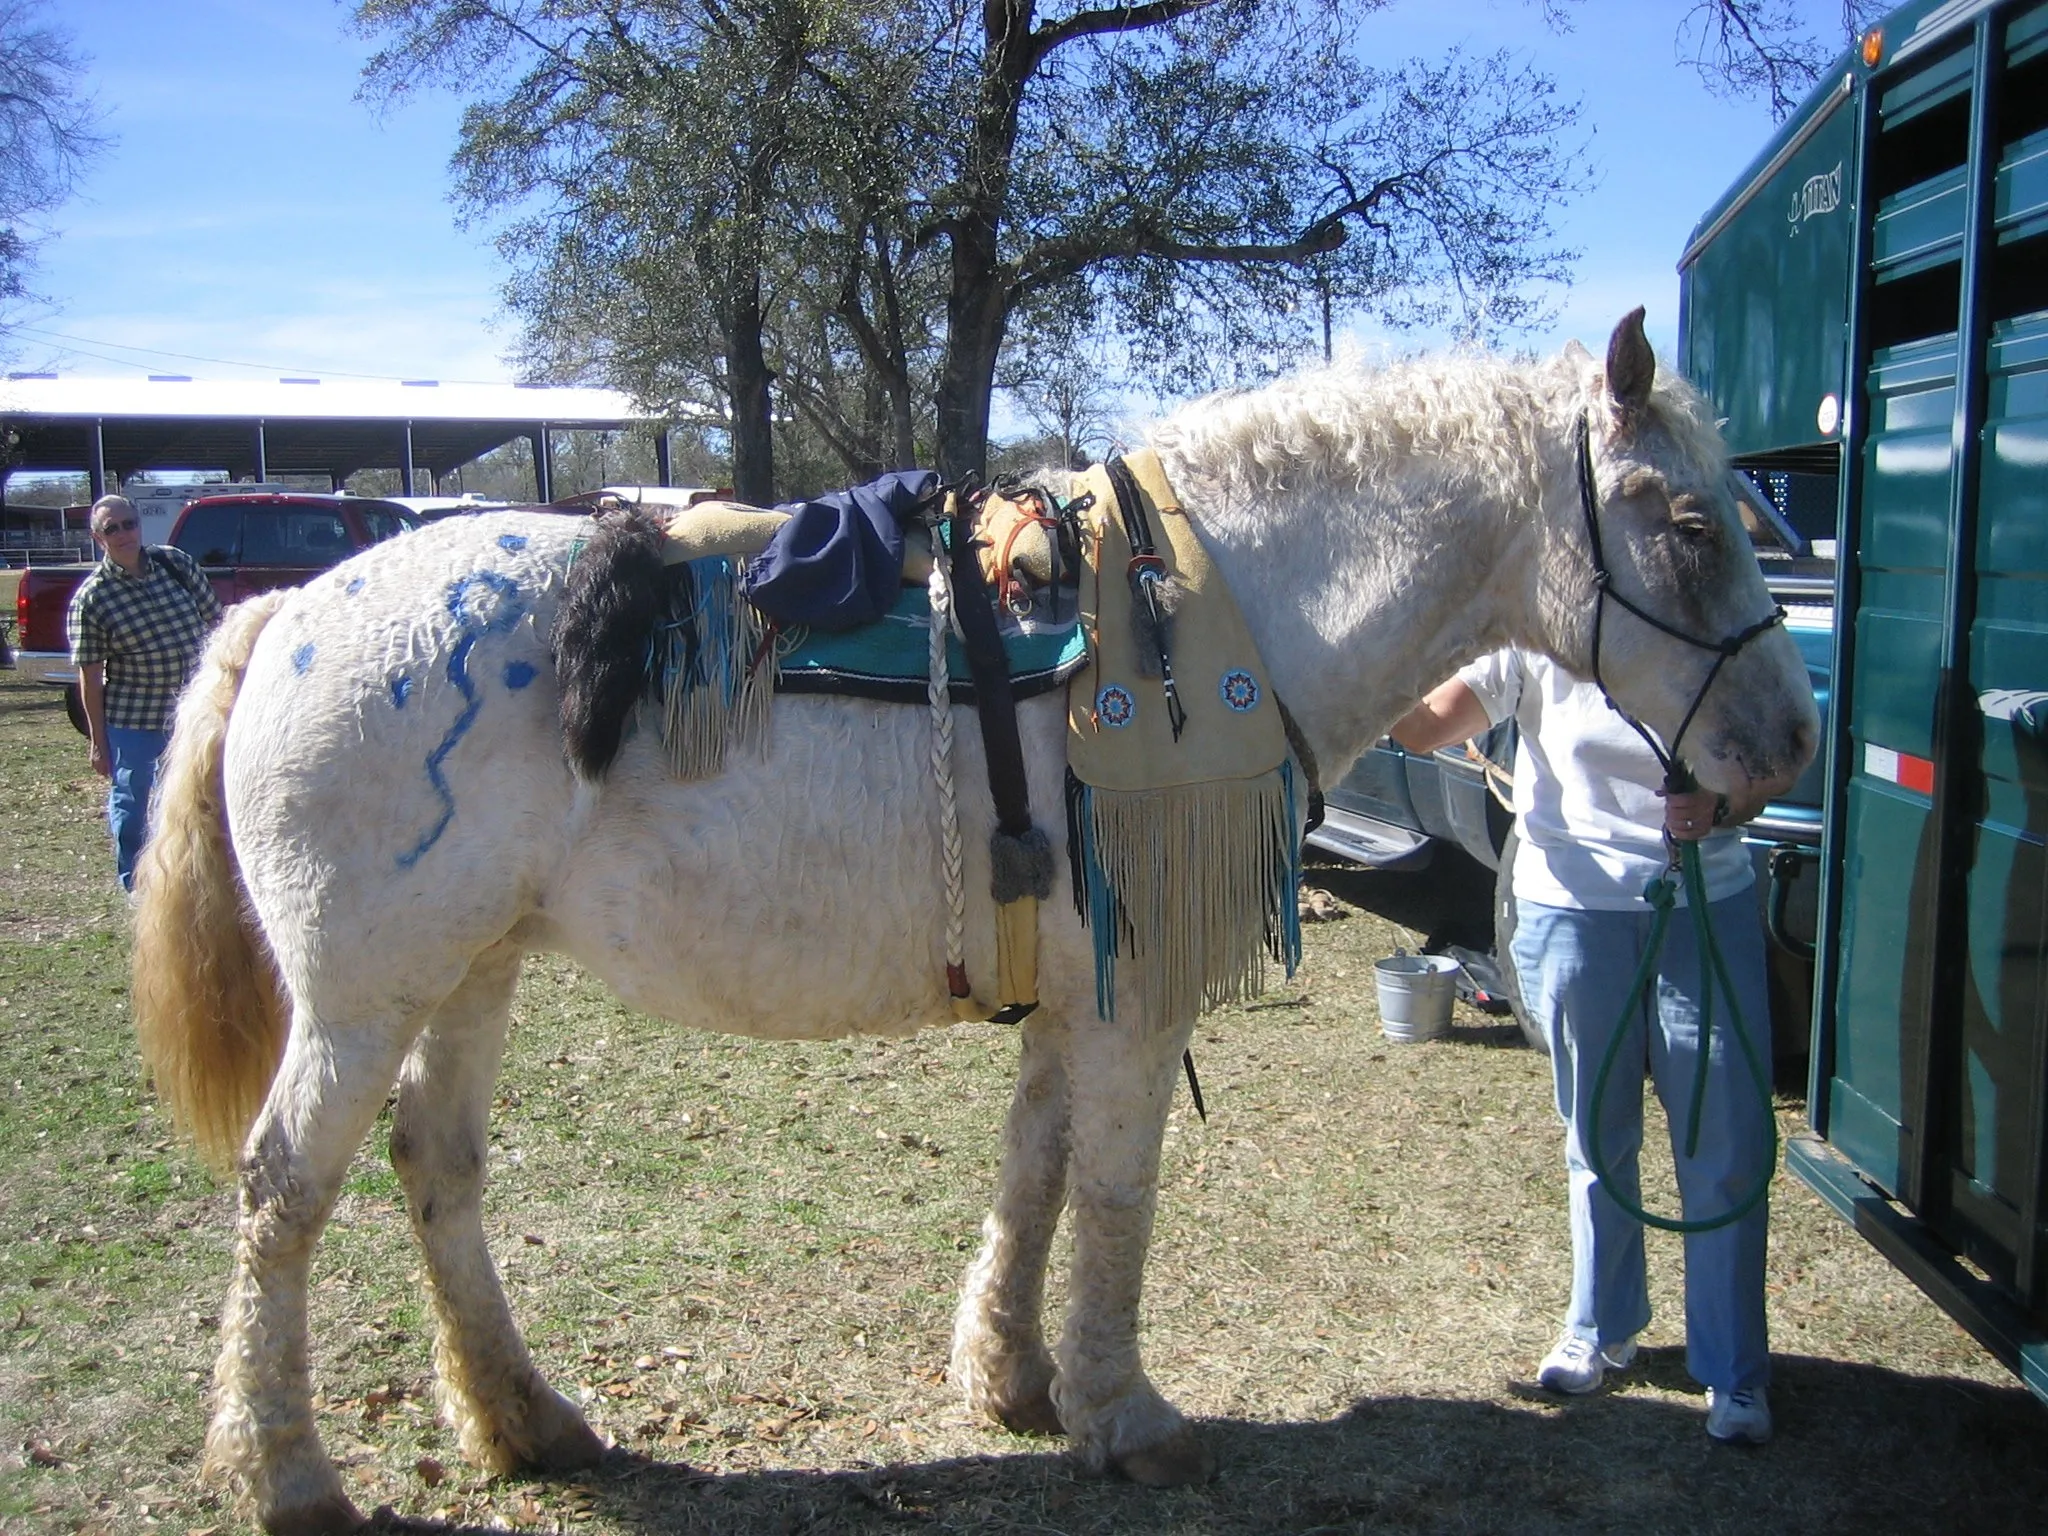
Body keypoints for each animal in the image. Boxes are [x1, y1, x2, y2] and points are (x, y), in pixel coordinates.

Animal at [136, 309, 1818, 1531]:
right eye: (1684, 521)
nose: (1789, 744)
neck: (1214, 611)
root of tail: (289, 610)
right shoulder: (1135, 1001)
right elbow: (1120, 1197)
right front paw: (1128, 1417)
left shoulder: (1075, 996)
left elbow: (1039, 1172)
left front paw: (1012, 1379)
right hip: (361, 1000)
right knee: (283, 1195)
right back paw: (288, 1474)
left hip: (470, 971)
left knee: (439, 1171)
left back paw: (524, 1418)